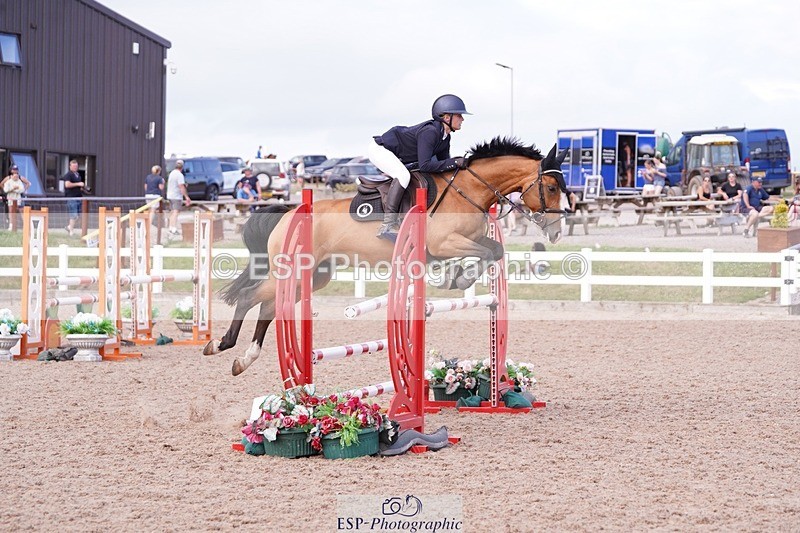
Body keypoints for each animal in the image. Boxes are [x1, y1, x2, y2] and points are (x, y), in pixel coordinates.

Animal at [204, 138, 568, 375]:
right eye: (551, 188)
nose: (556, 232)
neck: (468, 189)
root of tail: (290, 211)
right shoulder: (445, 243)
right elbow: (485, 252)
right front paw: (458, 277)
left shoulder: (468, 240)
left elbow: (494, 250)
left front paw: (457, 277)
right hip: (292, 271)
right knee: (250, 297)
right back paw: (219, 345)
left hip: (313, 276)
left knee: (269, 306)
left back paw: (243, 359)